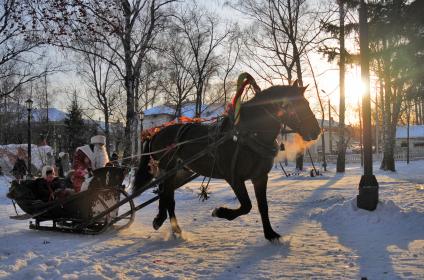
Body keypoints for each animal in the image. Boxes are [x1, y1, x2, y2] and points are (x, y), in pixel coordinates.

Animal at [134, 83, 320, 241]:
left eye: (306, 102)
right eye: (294, 105)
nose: (316, 130)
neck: (248, 135)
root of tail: (156, 132)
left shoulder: (260, 177)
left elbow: (263, 206)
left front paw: (270, 234)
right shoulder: (234, 177)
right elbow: (246, 206)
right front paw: (220, 212)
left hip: (179, 172)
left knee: (166, 194)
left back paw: (169, 225)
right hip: (168, 169)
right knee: (166, 195)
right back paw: (166, 223)